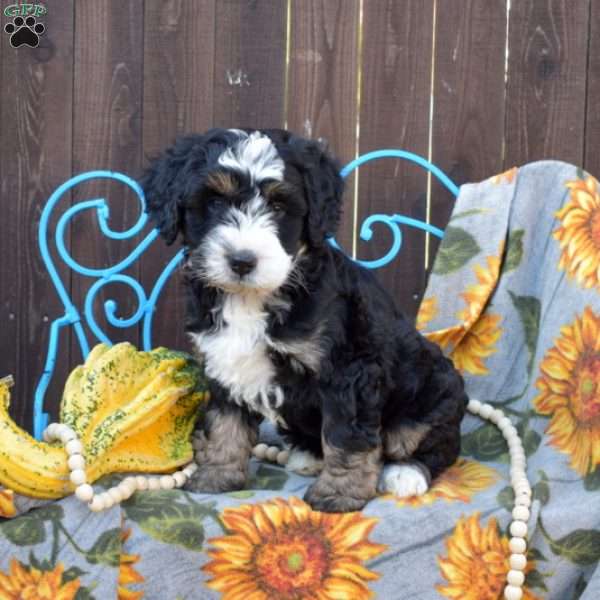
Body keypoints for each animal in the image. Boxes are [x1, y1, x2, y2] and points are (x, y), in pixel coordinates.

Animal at [142, 129, 468, 512]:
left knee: (433, 443)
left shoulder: (349, 370)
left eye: (279, 207)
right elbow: (224, 422)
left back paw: (406, 472)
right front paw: (217, 476)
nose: (242, 261)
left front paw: (338, 493)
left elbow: (346, 436)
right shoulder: (224, 359)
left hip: (434, 390)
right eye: (215, 203)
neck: (252, 297)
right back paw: (307, 457)